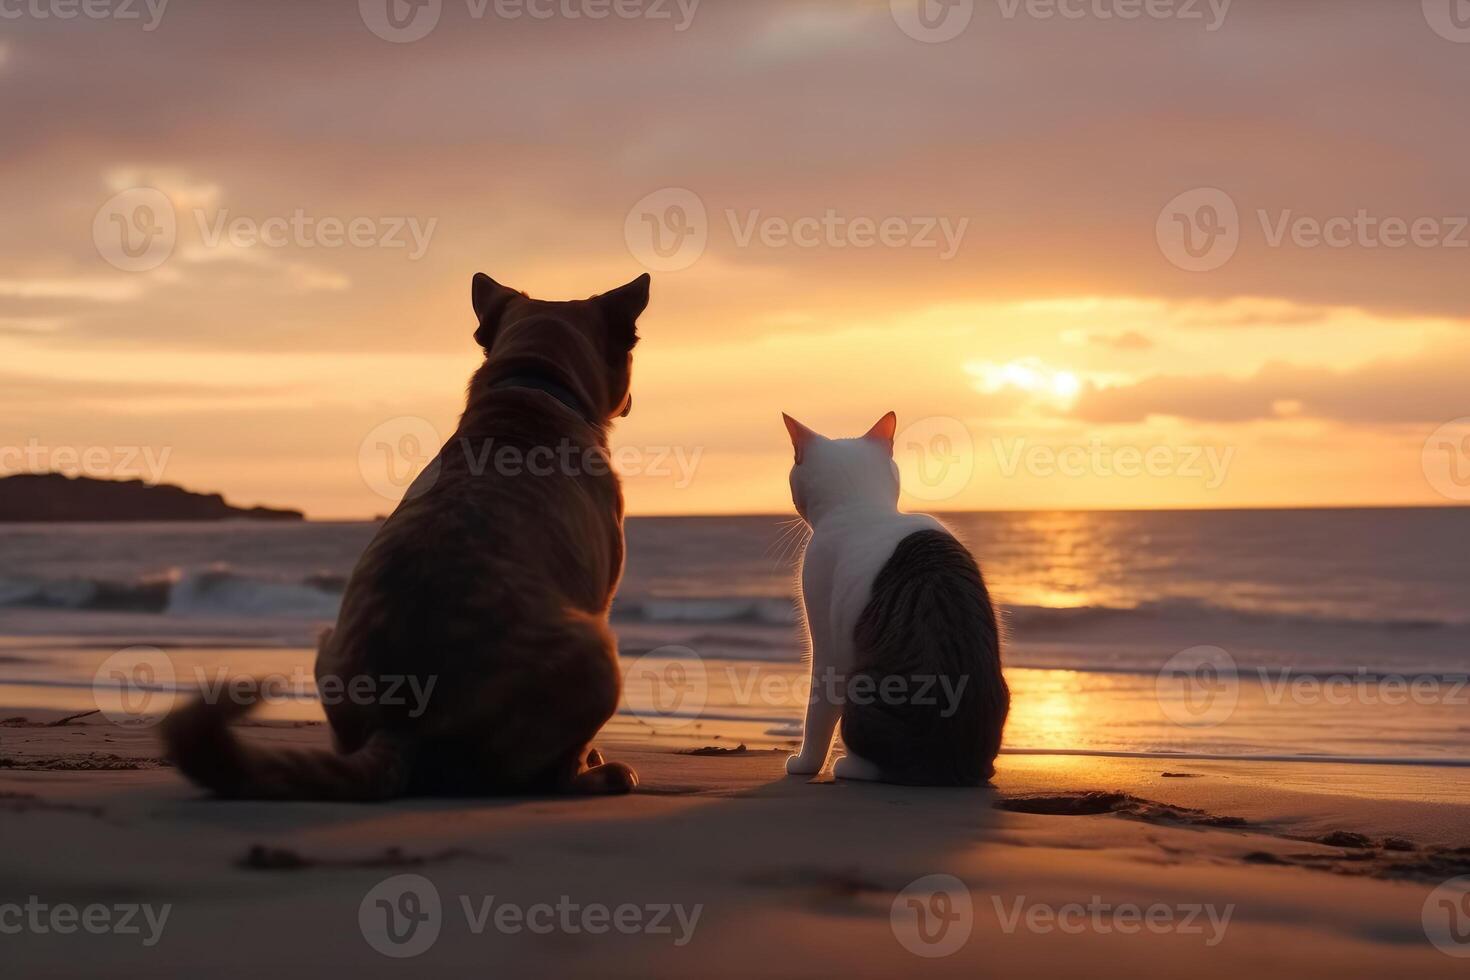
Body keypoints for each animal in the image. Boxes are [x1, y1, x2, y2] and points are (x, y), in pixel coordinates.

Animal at [160, 271, 649, 799]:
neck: (531, 384)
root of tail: (401, 723)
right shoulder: (601, 597)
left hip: (328, 643)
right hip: (599, 648)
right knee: (549, 772)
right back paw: (599, 775)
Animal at [782, 411, 1011, 787]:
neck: (863, 507)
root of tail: (950, 764)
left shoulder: (826, 641)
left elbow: (817, 711)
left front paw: (804, 764)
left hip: (862, 689)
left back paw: (845, 765)